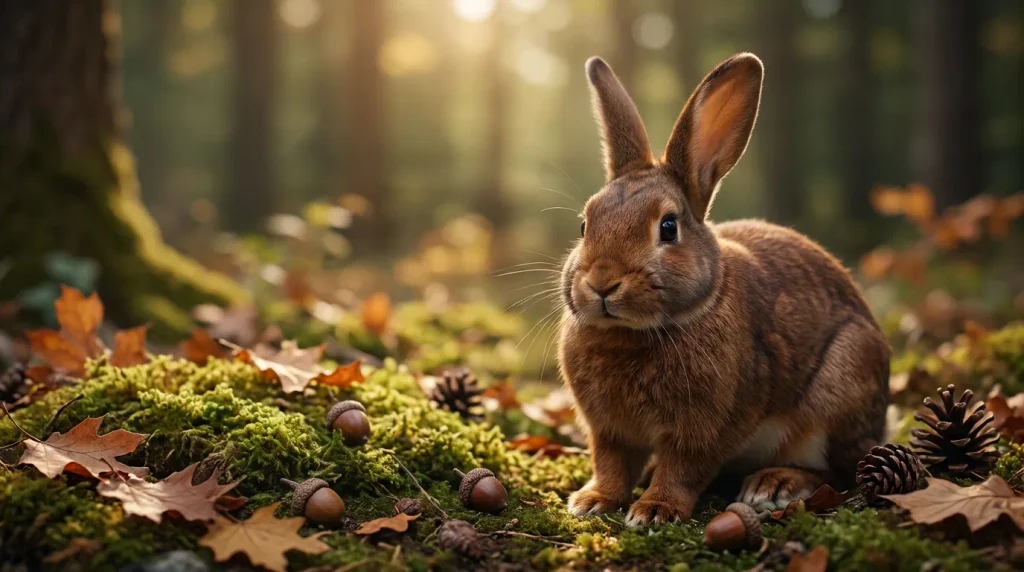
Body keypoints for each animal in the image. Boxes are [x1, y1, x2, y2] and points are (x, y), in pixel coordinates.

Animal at [557, 53, 890, 527]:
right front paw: (593, 500)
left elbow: (683, 468)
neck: (632, 333)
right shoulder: (609, 430)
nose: (602, 283)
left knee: (836, 469)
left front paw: (656, 510)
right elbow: (611, 464)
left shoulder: (705, 430)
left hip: (840, 392)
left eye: (668, 227)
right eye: (584, 225)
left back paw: (774, 485)